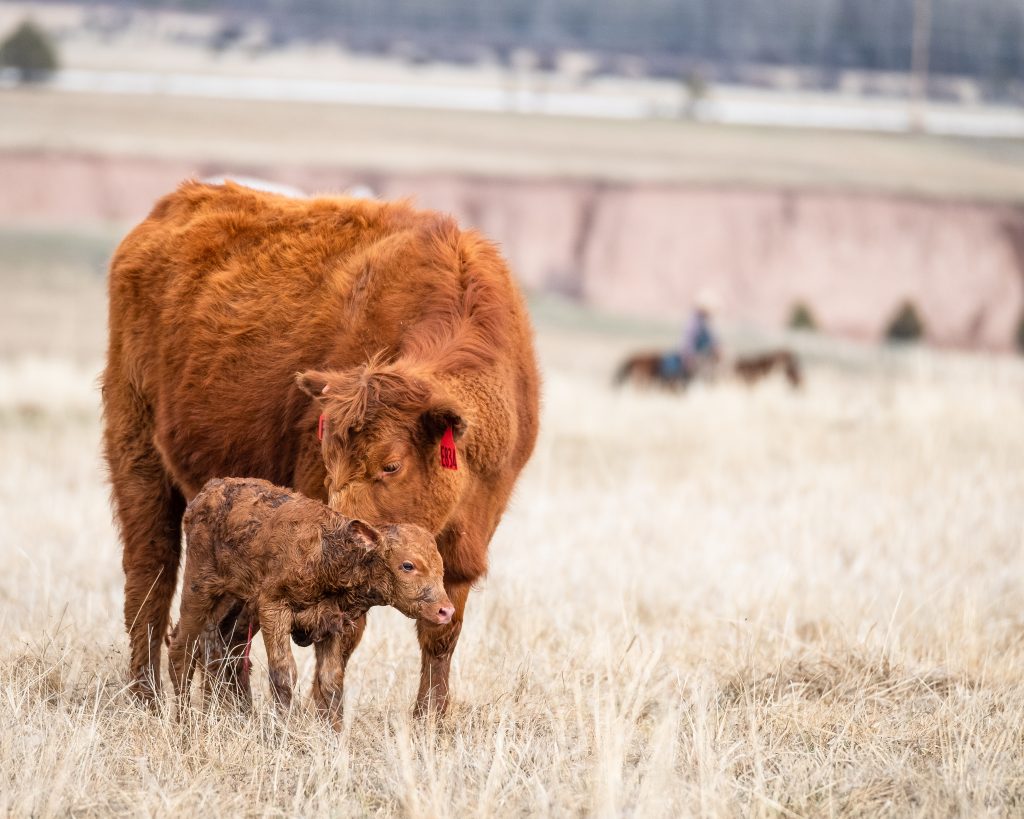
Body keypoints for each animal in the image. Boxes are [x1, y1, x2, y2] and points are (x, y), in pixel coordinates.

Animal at [101, 182, 544, 720]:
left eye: (391, 465)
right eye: (330, 464)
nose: (351, 529)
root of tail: (178, 202)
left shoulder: (463, 550)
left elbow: (440, 636)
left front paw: (431, 721)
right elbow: (339, 636)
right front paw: (324, 719)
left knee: (228, 628)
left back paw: (232, 708)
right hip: (138, 463)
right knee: (151, 583)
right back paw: (147, 698)